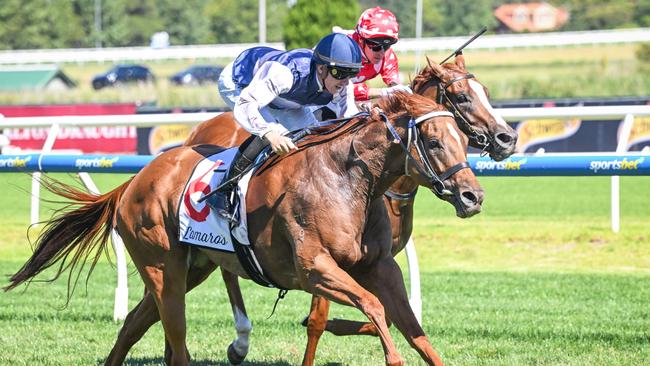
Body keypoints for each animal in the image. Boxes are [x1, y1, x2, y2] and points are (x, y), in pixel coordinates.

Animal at [5, 92, 480, 366]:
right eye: (434, 141)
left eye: (463, 138)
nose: (473, 196)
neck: (349, 180)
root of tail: (136, 178)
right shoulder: (315, 269)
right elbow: (373, 309)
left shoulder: (380, 267)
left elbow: (412, 327)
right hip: (163, 269)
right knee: (175, 341)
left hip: (192, 267)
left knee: (132, 327)